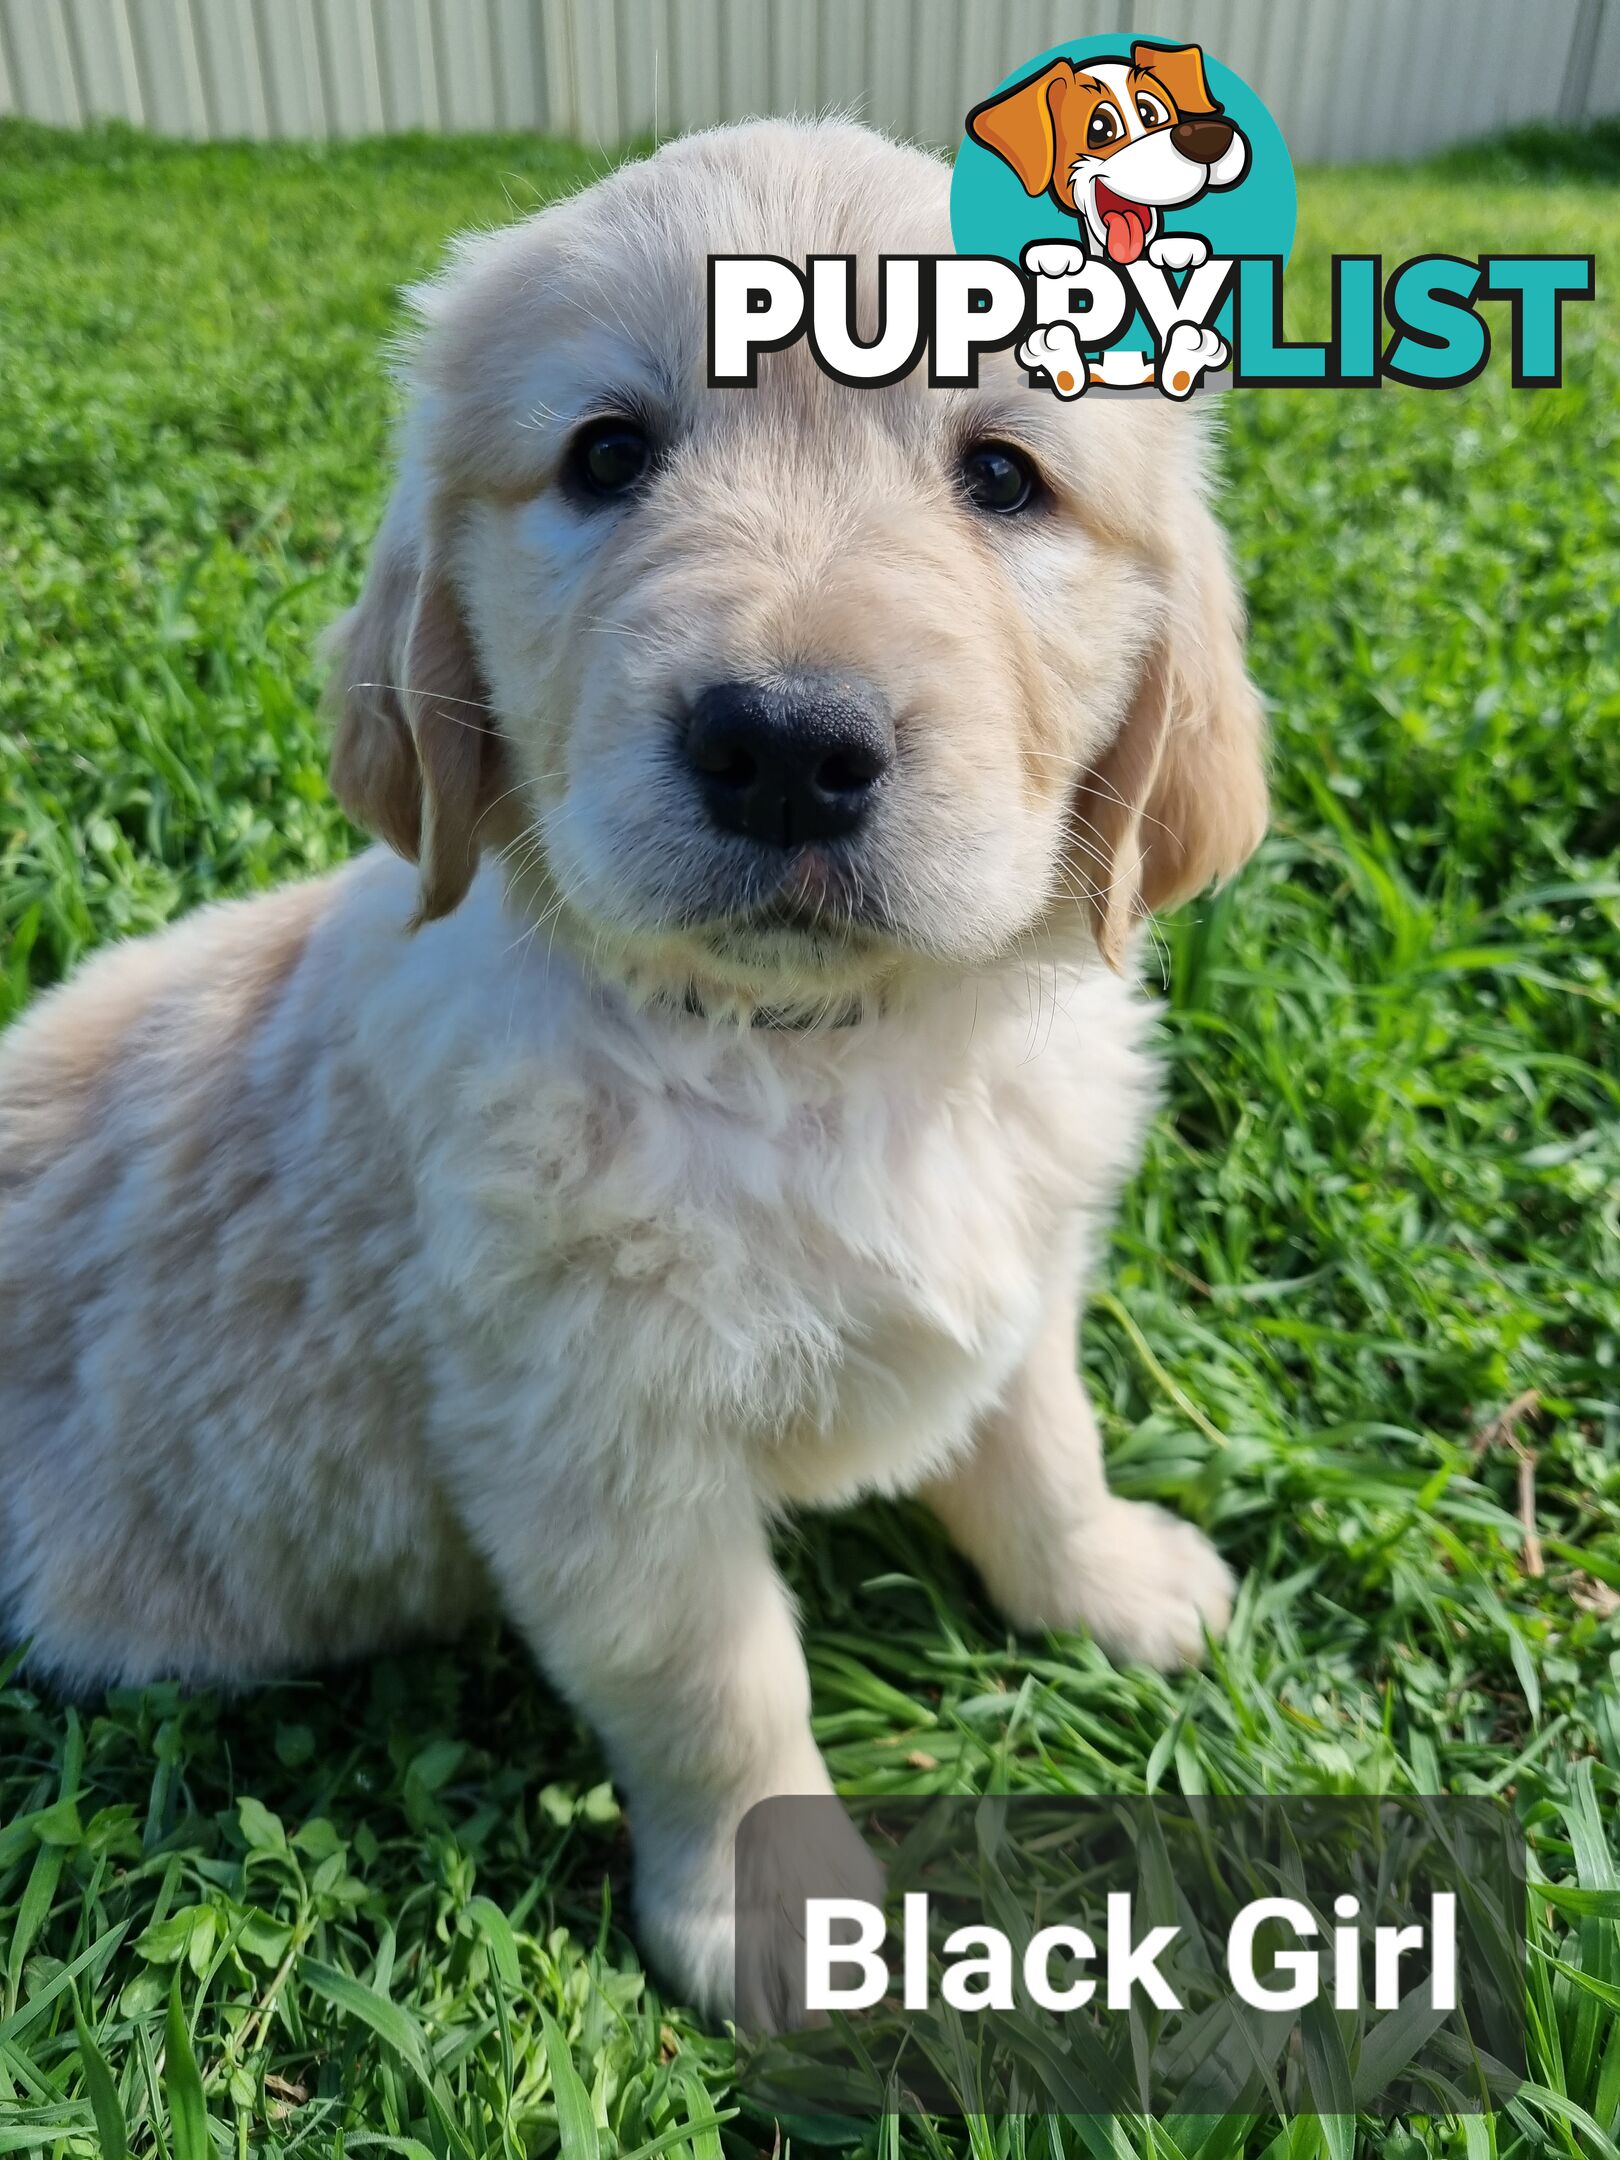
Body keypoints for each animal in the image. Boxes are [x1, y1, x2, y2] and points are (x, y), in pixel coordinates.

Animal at [0, 113, 1270, 2004]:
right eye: (607, 456)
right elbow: (720, 1688)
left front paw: (1110, 1583)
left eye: (1005, 477)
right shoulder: (594, 1448)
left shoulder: (1021, 1266)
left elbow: (1046, 1441)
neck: (814, 1055)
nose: (787, 747)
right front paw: (781, 1916)